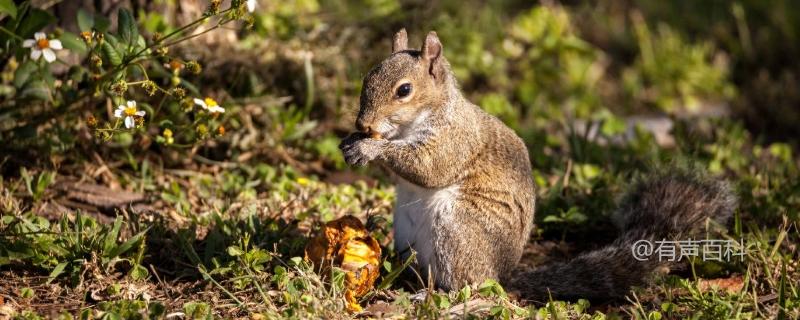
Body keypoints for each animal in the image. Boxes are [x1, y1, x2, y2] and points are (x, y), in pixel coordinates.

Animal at [338, 28, 736, 302]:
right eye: (367, 77)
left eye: (404, 90)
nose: (362, 124)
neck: (425, 116)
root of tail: (501, 274)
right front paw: (351, 141)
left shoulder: (456, 139)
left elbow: (428, 166)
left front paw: (371, 149)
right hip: (407, 230)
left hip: (458, 229)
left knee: (467, 283)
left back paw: (434, 294)